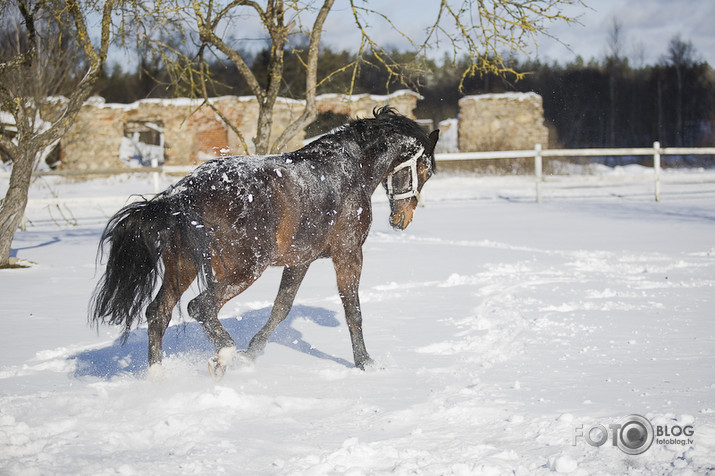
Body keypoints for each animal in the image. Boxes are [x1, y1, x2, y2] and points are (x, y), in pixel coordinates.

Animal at [89, 106, 436, 378]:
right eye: (426, 170)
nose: (403, 219)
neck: (348, 169)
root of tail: (182, 193)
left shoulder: (300, 260)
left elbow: (281, 308)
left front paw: (252, 353)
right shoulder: (348, 253)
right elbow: (354, 310)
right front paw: (365, 363)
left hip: (183, 266)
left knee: (158, 313)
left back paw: (158, 378)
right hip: (244, 268)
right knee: (200, 307)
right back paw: (223, 356)